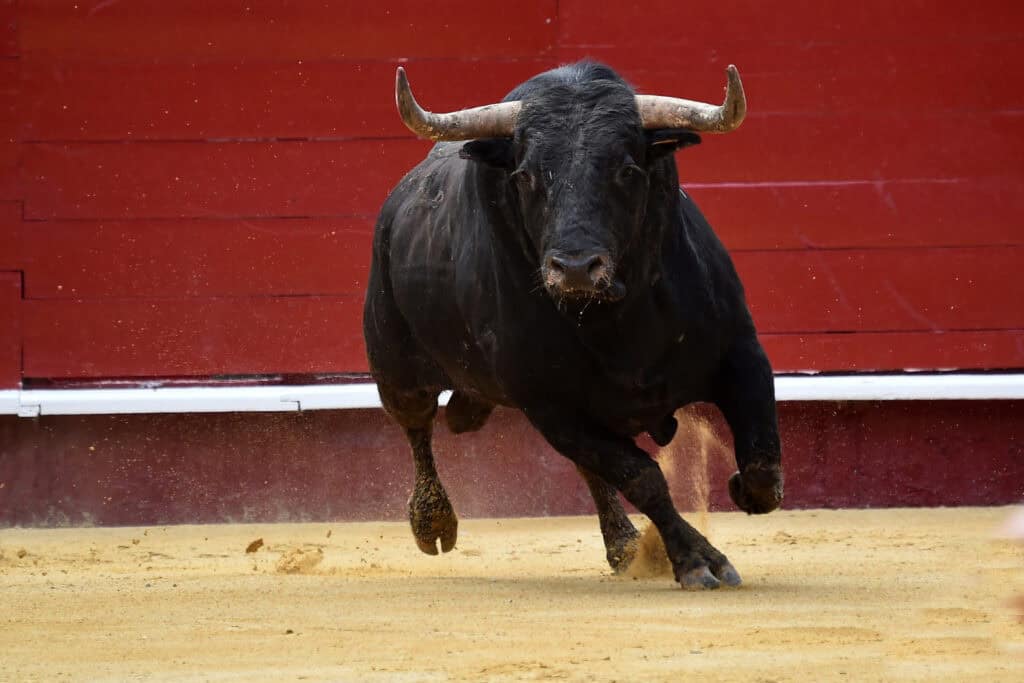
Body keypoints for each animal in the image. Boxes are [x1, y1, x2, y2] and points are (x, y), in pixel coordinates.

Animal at [363, 62, 784, 590]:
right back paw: (433, 524)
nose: (577, 268)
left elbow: (762, 462)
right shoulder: (550, 405)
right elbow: (642, 477)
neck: (617, 318)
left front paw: (740, 491)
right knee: (417, 427)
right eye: (524, 176)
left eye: (628, 170)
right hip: (396, 367)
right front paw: (696, 558)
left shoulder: (742, 352)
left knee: (588, 471)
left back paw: (623, 545)